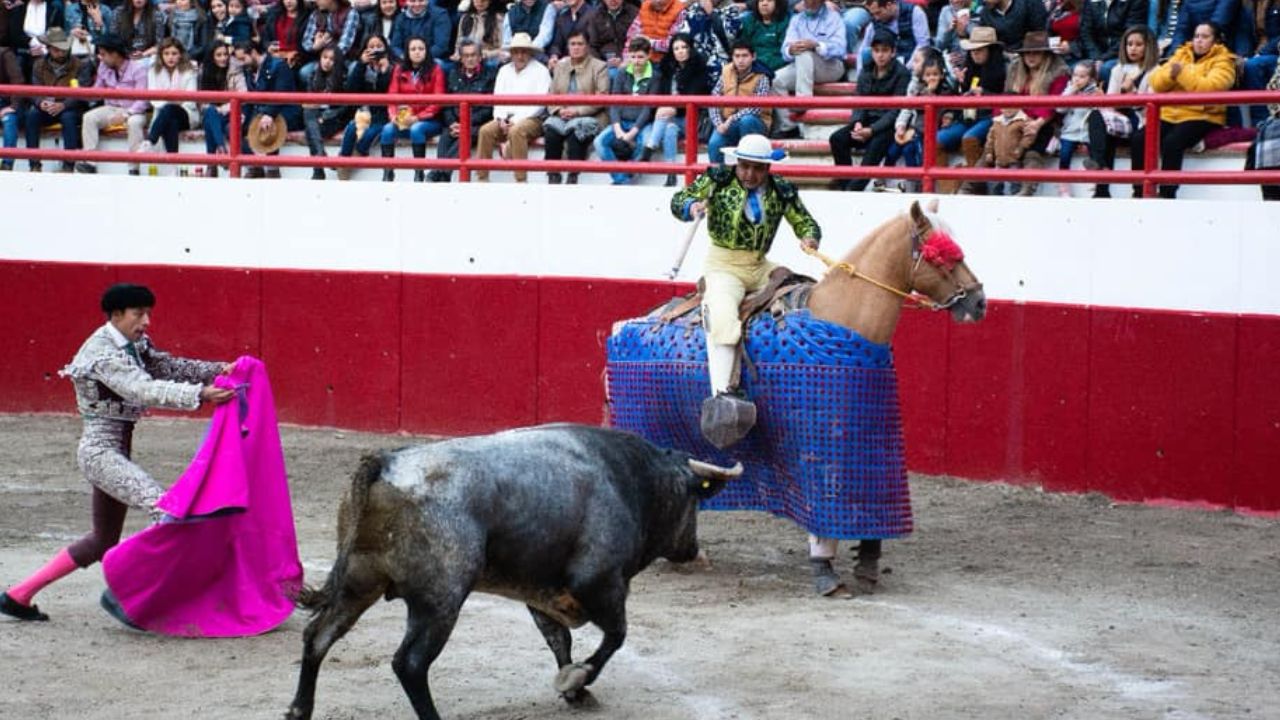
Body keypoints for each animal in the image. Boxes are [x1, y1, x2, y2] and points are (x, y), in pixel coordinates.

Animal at [280, 420, 742, 717]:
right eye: (694, 498)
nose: (693, 549)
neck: (632, 478)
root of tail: (387, 462)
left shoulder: (540, 590)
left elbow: (559, 640)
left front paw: (576, 694)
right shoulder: (600, 582)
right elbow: (614, 637)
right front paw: (576, 681)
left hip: (360, 583)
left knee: (318, 636)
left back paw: (299, 709)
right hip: (440, 600)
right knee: (409, 663)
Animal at [604, 196, 983, 594]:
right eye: (939, 254)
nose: (979, 301)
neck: (841, 315)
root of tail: (622, 326)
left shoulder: (869, 436)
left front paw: (867, 561)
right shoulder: (816, 444)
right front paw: (824, 567)